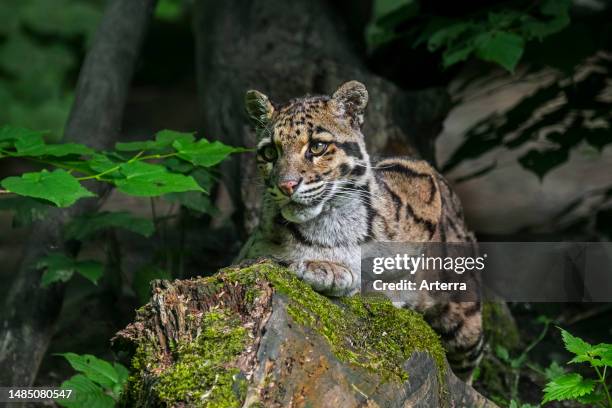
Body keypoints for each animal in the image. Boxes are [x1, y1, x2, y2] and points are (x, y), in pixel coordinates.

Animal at [239, 81, 482, 380]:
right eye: (270, 152)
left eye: (317, 146)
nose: (286, 185)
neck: (330, 218)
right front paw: (325, 267)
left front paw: (330, 270)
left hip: (466, 320)